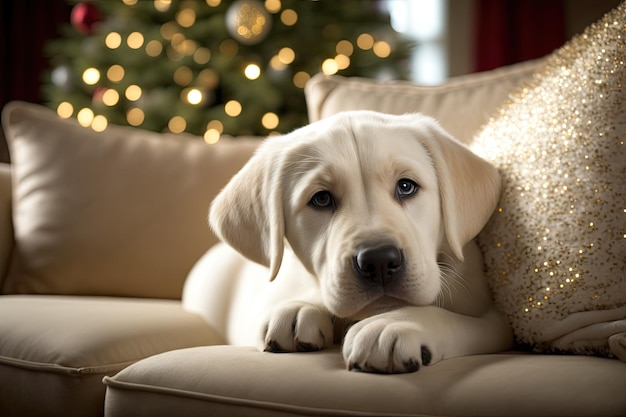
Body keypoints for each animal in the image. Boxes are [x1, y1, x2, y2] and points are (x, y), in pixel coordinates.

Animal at [182, 110, 512, 374]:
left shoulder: (496, 322)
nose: (379, 261)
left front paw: (395, 324)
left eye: (406, 186)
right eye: (321, 199)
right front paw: (299, 308)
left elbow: (448, 317)